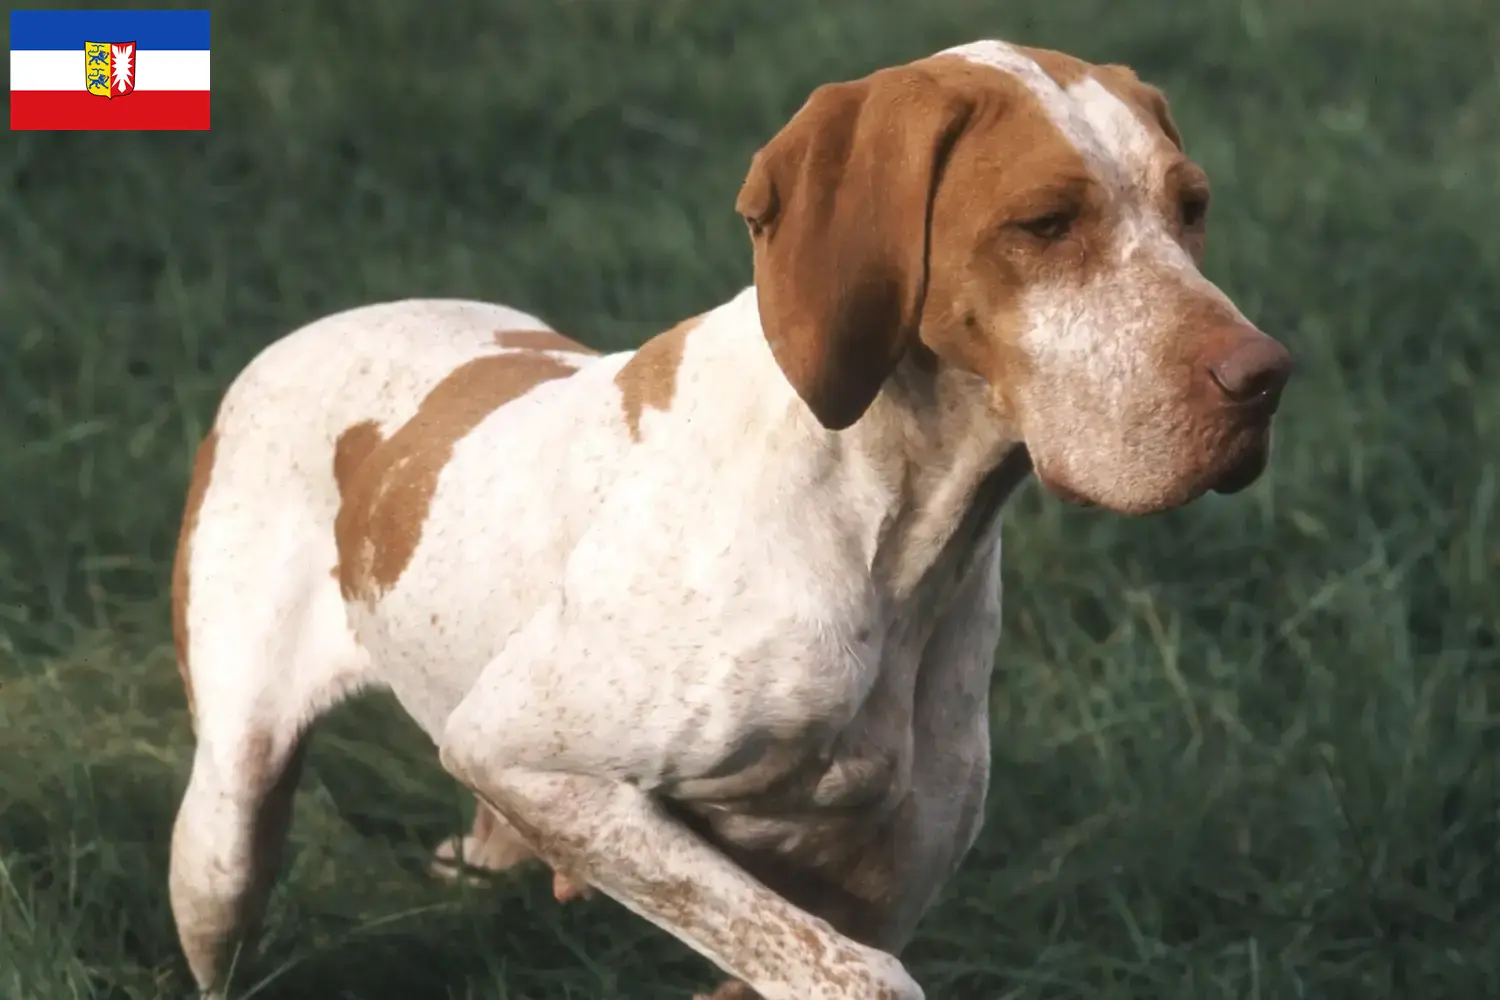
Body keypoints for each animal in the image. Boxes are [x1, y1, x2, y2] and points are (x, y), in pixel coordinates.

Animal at [167, 37, 1290, 1000]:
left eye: (1191, 208)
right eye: (1046, 223)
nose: (1266, 378)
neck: (885, 528)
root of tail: (298, 335)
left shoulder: (881, 877)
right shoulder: (525, 754)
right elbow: (858, 972)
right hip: (223, 844)